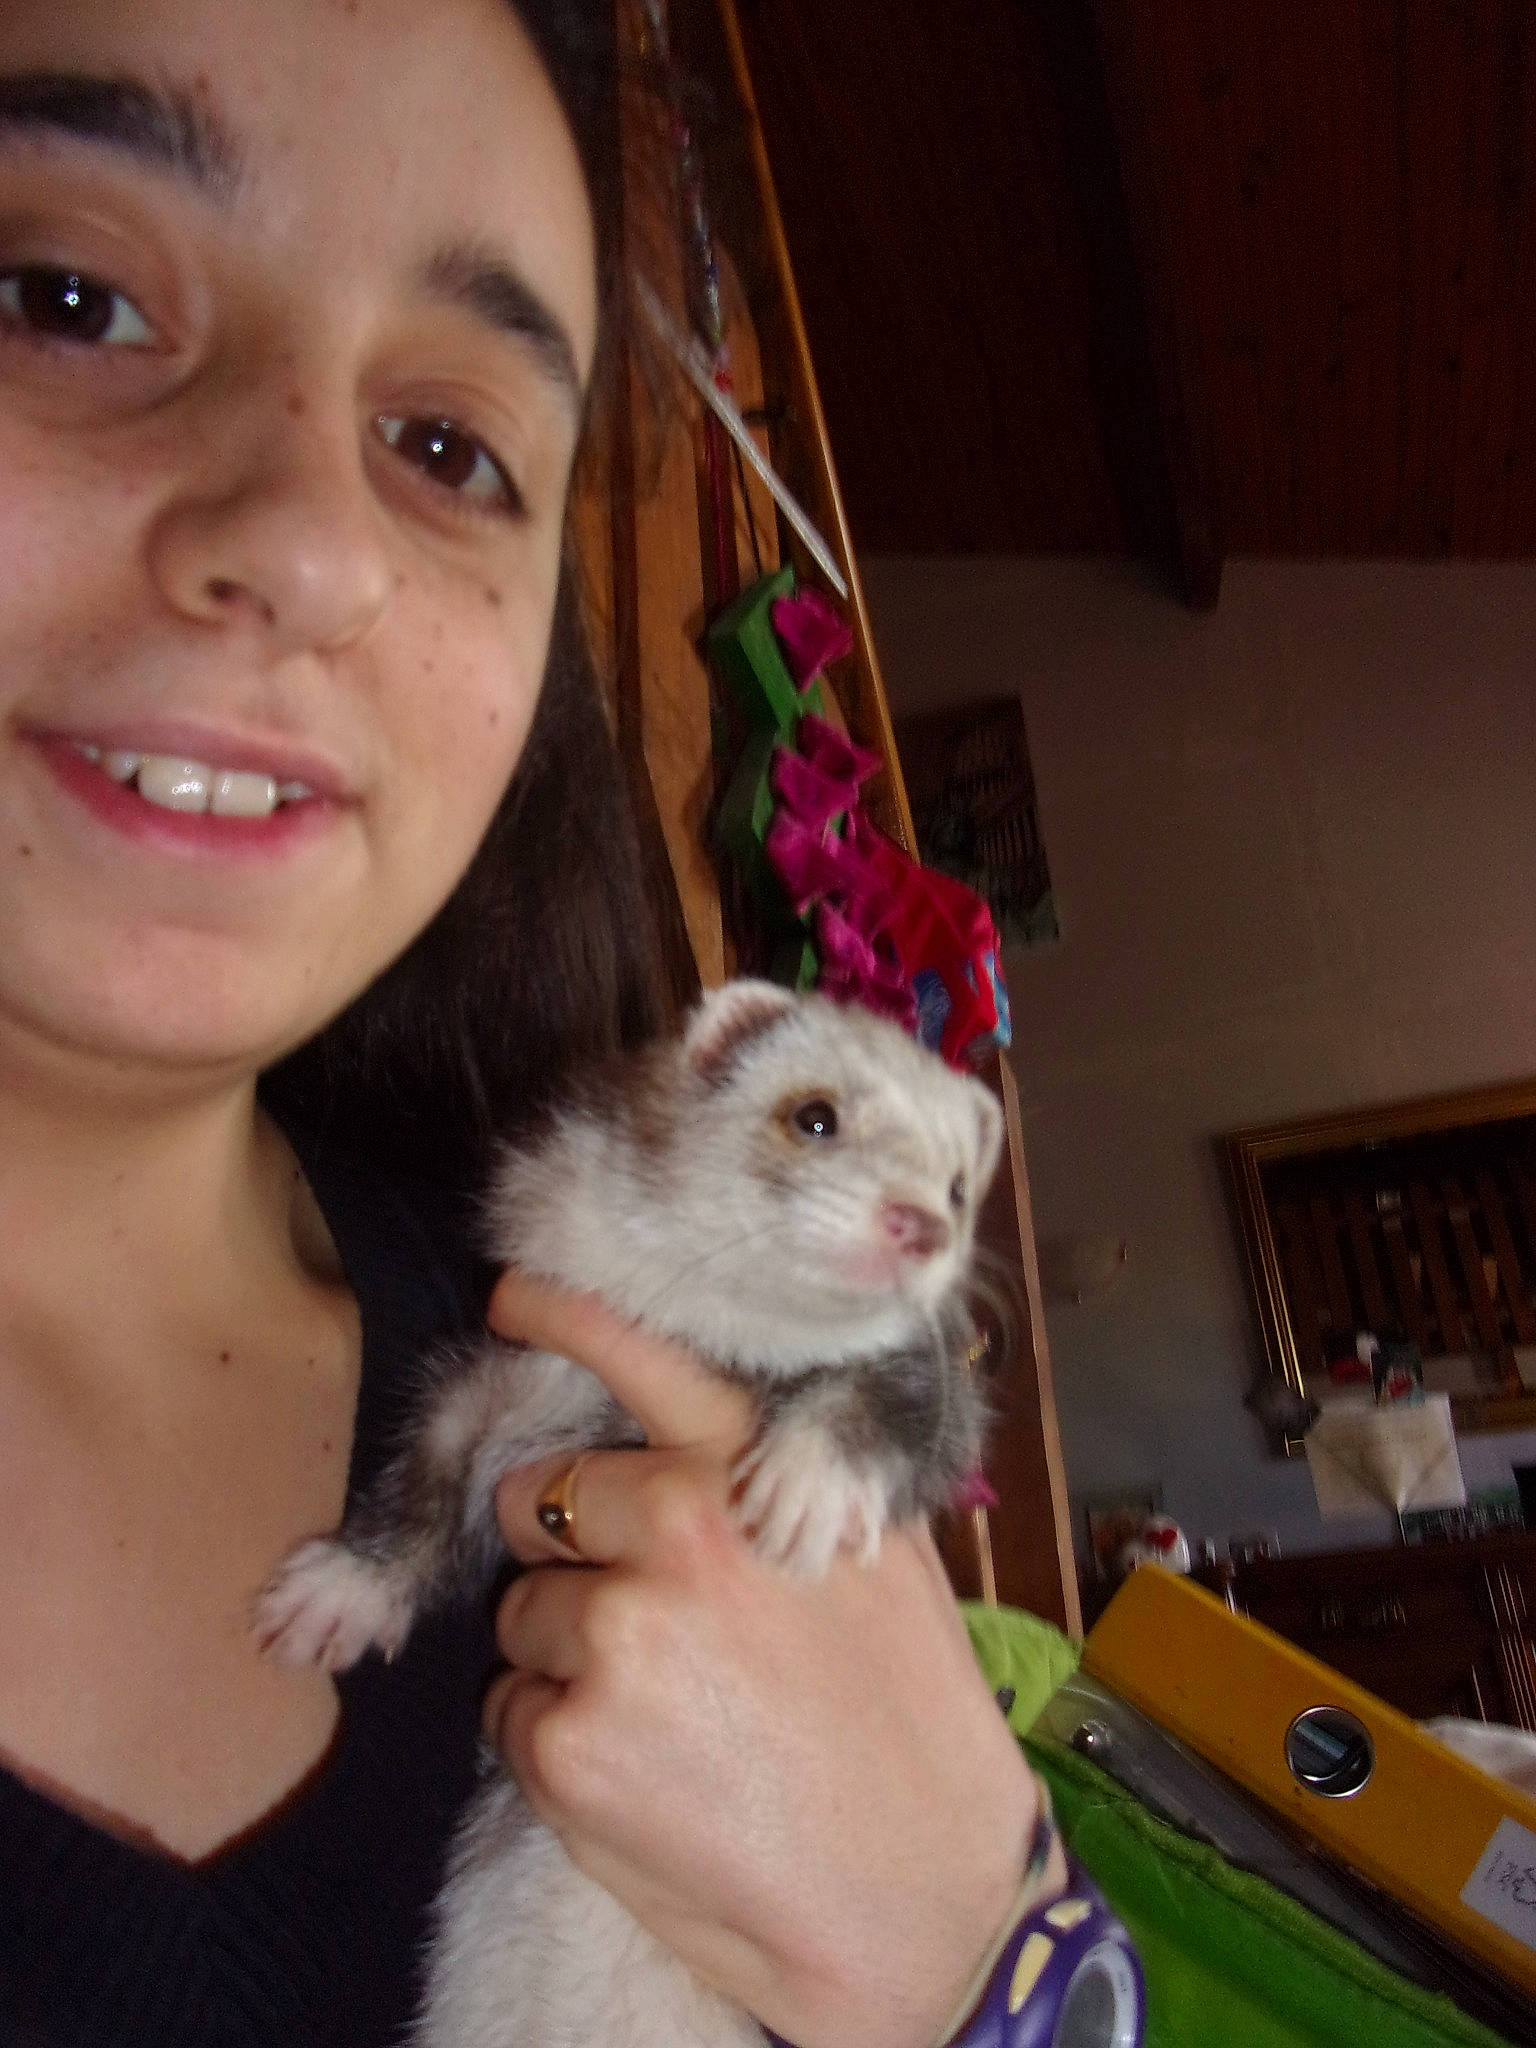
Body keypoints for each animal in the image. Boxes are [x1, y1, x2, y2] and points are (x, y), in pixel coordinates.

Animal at [253, 979, 1005, 2048]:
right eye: (814, 1114)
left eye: (958, 1186)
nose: (919, 1223)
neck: (711, 1326)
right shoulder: (507, 1385)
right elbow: (429, 1467)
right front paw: (344, 1590)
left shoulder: (942, 1392)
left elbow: (902, 1400)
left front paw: (811, 1483)